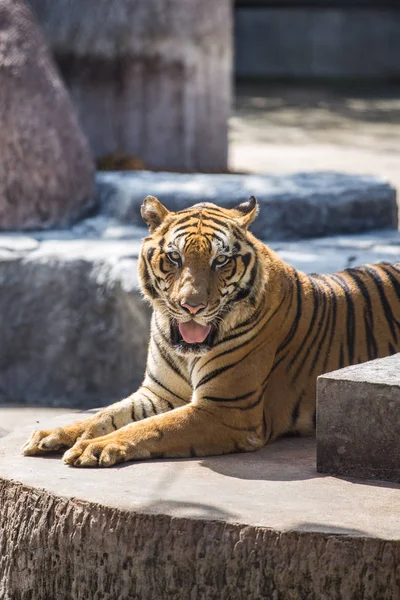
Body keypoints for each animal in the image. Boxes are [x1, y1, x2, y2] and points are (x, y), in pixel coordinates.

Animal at [22, 195, 400, 466]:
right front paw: (55, 433)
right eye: (174, 258)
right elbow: (106, 414)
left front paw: (95, 447)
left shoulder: (225, 408)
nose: (192, 306)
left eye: (221, 261)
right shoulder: (159, 393)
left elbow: (152, 426)